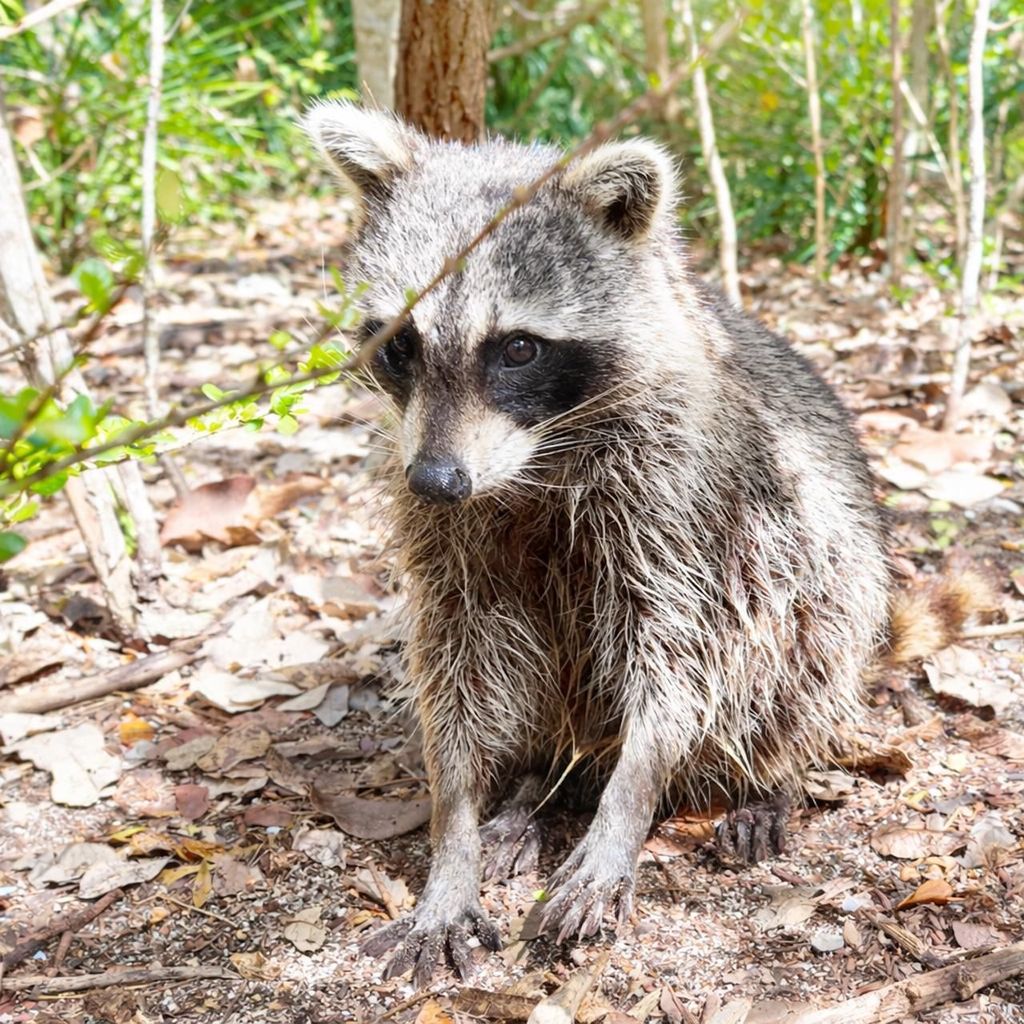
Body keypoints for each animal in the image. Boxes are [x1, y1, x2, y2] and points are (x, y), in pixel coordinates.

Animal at [302, 102, 966, 986]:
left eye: (517, 347)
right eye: (402, 342)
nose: (438, 481)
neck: (534, 461)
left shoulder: (680, 497)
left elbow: (683, 655)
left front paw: (627, 806)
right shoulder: (444, 527)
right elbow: (457, 666)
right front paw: (456, 834)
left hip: (823, 559)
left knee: (801, 633)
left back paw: (765, 776)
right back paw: (532, 789)